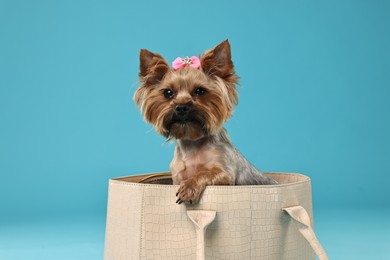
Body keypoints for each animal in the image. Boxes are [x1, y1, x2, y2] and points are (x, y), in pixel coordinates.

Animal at [135, 39, 278, 204]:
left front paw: (188, 188)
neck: (192, 144)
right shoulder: (177, 177)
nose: (181, 107)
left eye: (200, 91)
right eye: (168, 93)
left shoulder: (225, 174)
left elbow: (204, 173)